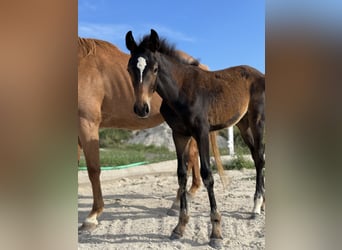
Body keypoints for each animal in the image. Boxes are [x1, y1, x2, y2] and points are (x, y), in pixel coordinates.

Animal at [77, 38, 224, 231]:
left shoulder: (87, 122)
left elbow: (93, 169)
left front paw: (92, 216)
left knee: (191, 157)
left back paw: (178, 202)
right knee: (193, 156)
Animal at [125, 29, 264, 248]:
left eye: (155, 69)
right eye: (129, 68)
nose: (141, 108)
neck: (181, 91)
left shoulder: (202, 132)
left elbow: (207, 175)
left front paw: (216, 233)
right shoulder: (179, 134)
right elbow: (182, 175)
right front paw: (179, 227)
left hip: (257, 122)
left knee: (260, 158)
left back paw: (256, 206)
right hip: (243, 125)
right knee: (258, 157)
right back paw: (261, 204)